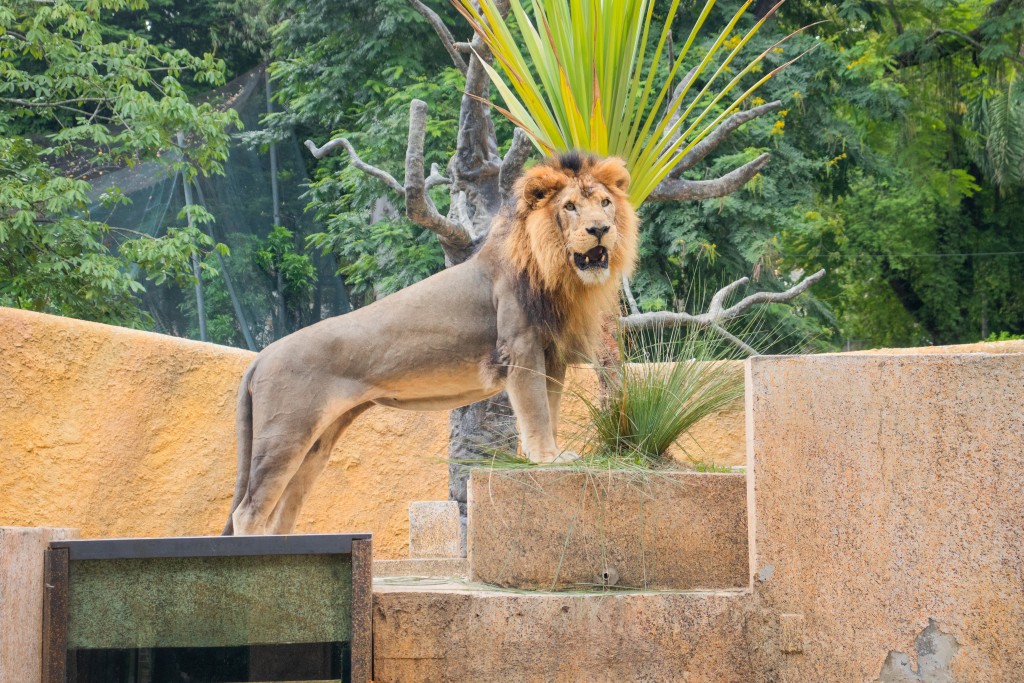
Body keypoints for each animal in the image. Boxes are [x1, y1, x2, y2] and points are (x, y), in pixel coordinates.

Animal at [228, 152, 634, 536]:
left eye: (605, 203)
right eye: (570, 207)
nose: (600, 229)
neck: (556, 270)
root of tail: (262, 356)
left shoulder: (551, 356)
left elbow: (549, 409)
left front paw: (553, 455)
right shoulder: (520, 347)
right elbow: (534, 410)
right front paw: (546, 458)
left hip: (318, 441)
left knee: (284, 508)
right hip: (285, 434)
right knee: (247, 512)